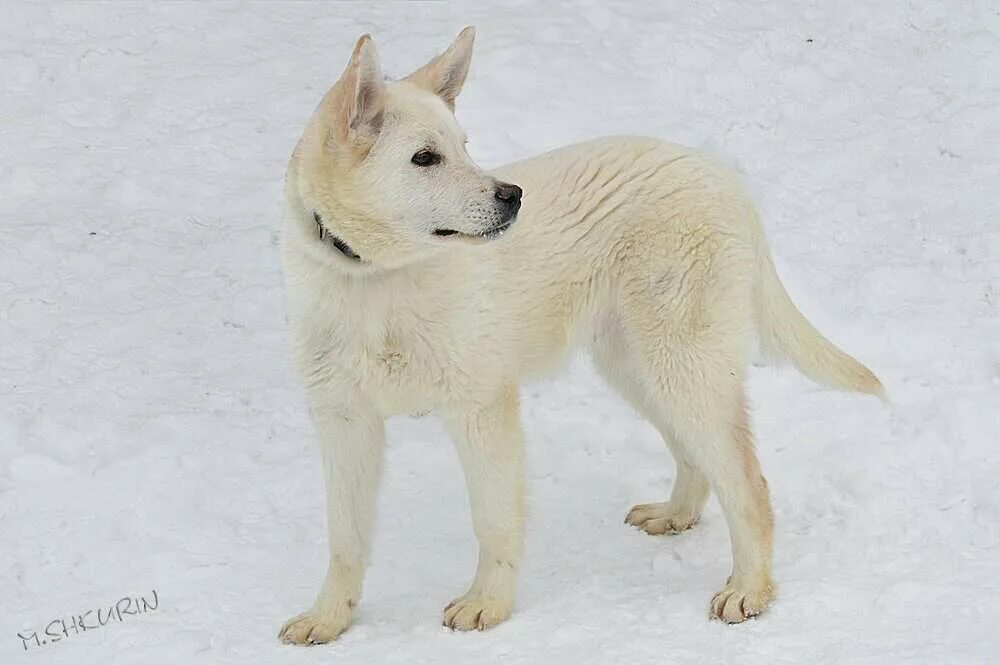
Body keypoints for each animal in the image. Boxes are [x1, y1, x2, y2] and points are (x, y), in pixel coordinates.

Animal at [276, 27, 884, 644]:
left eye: (464, 147)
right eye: (425, 158)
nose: (513, 196)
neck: (373, 281)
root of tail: (722, 178)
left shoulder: (482, 410)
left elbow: (493, 523)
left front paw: (488, 605)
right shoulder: (344, 424)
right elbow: (345, 541)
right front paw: (329, 619)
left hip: (682, 367)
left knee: (749, 484)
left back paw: (749, 592)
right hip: (639, 369)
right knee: (698, 461)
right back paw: (676, 517)